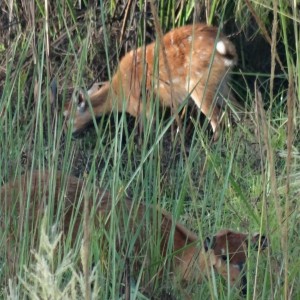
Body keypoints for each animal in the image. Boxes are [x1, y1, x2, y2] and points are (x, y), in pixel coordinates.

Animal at [64, 23, 238, 141]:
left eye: (66, 115)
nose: (65, 133)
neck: (119, 94)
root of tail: (226, 46)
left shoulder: (145, 107)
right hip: (222, 83)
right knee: (236, 109)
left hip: (201, 86)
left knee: (216, 117)